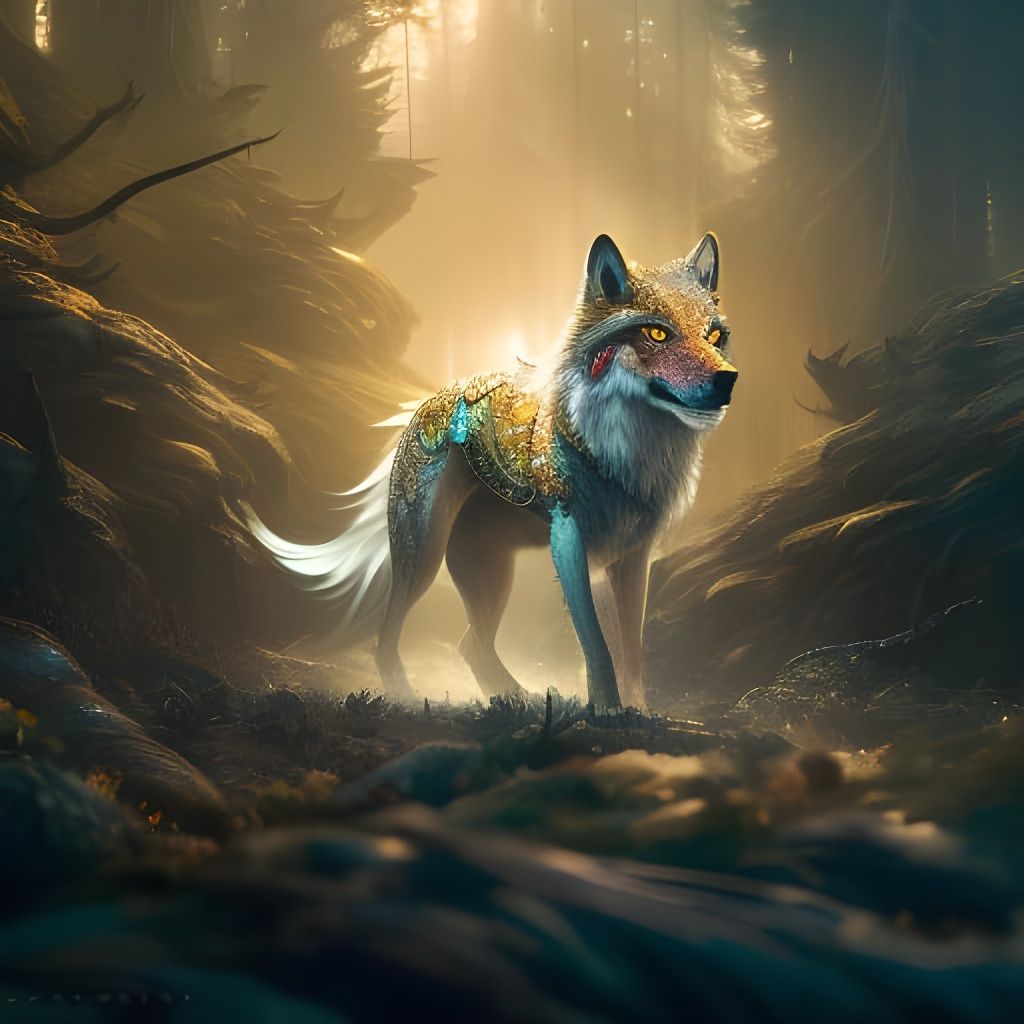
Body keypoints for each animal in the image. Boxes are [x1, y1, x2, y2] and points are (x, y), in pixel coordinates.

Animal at [247, 232, 736, 709]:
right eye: (657, 333)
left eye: (715, 335)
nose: (729, 379)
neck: (621, 454)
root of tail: (433, 398)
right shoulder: (569, 536)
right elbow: (596, 643)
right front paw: (607, 711)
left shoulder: (634, 553)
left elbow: (633, 649)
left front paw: (639, 714)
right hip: (422, 560)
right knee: (387, 640)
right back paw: (408, 697)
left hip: (491, 573)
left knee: (470, 645)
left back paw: (518, 698)